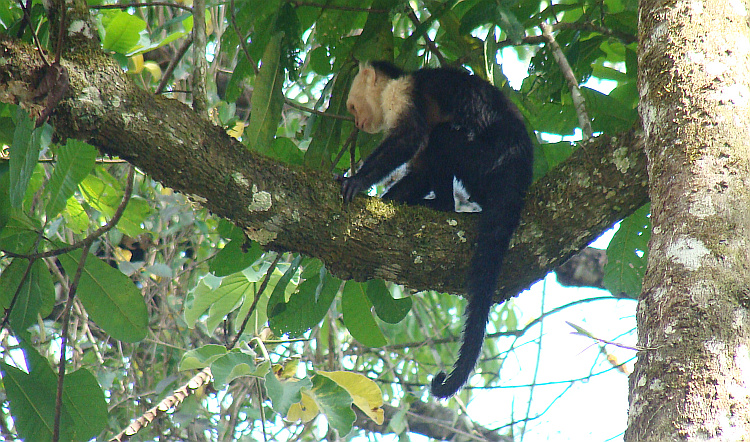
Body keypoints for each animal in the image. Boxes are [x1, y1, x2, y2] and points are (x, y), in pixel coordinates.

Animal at [340, 60, 536, 398]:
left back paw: (443, 205)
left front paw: (359, 180)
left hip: (488, 161)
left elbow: (411, 137)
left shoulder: (400, 94)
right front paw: (389, 199)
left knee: (443, 137)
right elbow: (419, 168)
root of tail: (519, 167)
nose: (357, 122)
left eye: (353, 106)